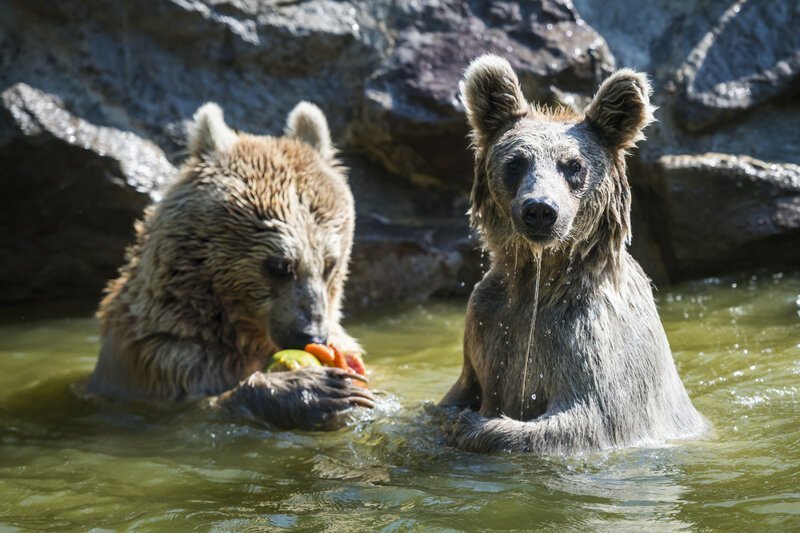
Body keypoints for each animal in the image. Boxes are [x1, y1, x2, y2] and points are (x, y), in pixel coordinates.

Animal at [87, 102, 376, 430]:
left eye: (330, 264)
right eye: (280, 265)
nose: (311, 335)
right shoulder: (167, 361)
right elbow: (198, 407)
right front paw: (316, 388)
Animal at [440, 54, 708, 454]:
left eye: (574, 165)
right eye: (515, 162)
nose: (540, 209)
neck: (540, 279)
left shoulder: (589, 337)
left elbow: (585, 420)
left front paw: (469, 426)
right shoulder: (486, 322)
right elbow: (455, 393)